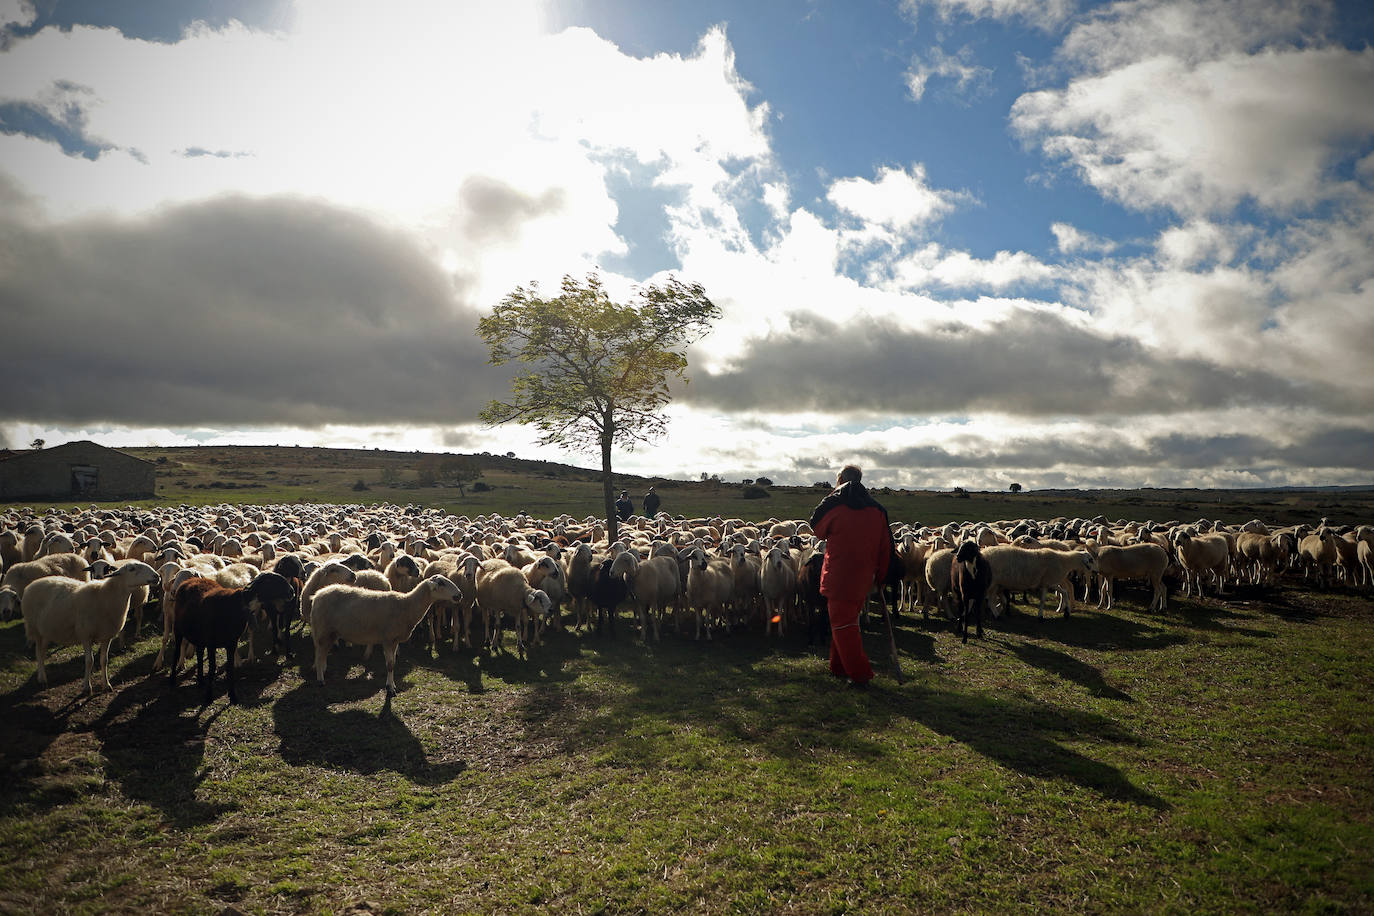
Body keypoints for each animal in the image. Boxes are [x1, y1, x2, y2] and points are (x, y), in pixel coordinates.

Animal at [21, 560, 160, 694]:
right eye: (132, 569)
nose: (157, 576)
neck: (106, 597)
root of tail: (31, 585)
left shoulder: (106, 635)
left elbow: (104, 660)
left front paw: (106, 685)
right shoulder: (85, 635)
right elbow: (89, 661)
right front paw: (87, 687)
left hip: (46, 631)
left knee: (42, 652)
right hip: (35, 629)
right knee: (38, 652)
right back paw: (42, 678)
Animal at [310, 574, 461, 694]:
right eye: (441, 583)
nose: (459, 595)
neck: (407, 605)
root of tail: (317, 595)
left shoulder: (395, 640)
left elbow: (393, 663)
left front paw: (392, 685)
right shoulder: (388, 639)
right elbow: (390, 664)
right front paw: (390, 688)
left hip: (331, 632)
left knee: (322, 652)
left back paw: (322, 671)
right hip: (323, 629)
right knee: (319, 653)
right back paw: (320, 679)